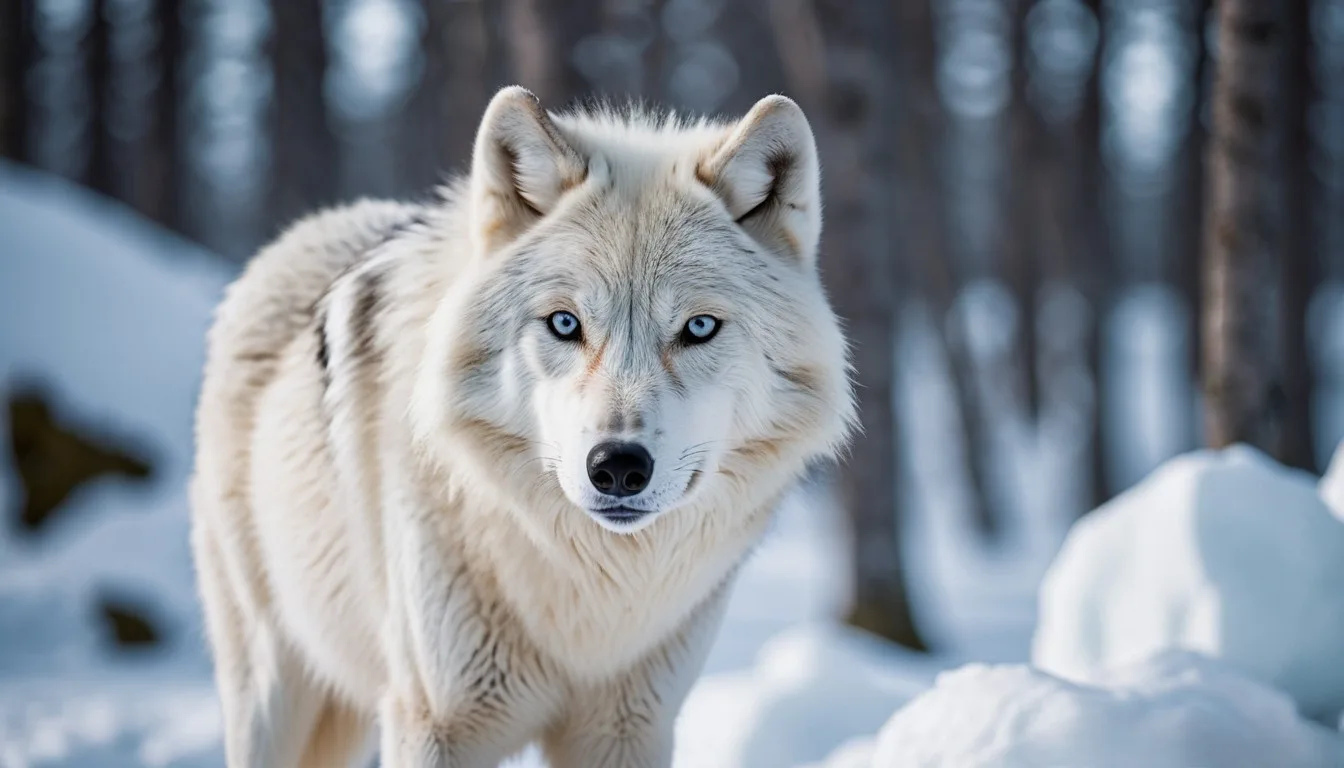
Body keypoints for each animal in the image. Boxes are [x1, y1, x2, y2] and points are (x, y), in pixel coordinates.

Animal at [189, 85, 856, 768]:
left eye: (698, 328)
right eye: (564, 324)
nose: (618, 467)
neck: (590, 592)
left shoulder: (628, 728)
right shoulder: (434, 722)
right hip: (270, 693)